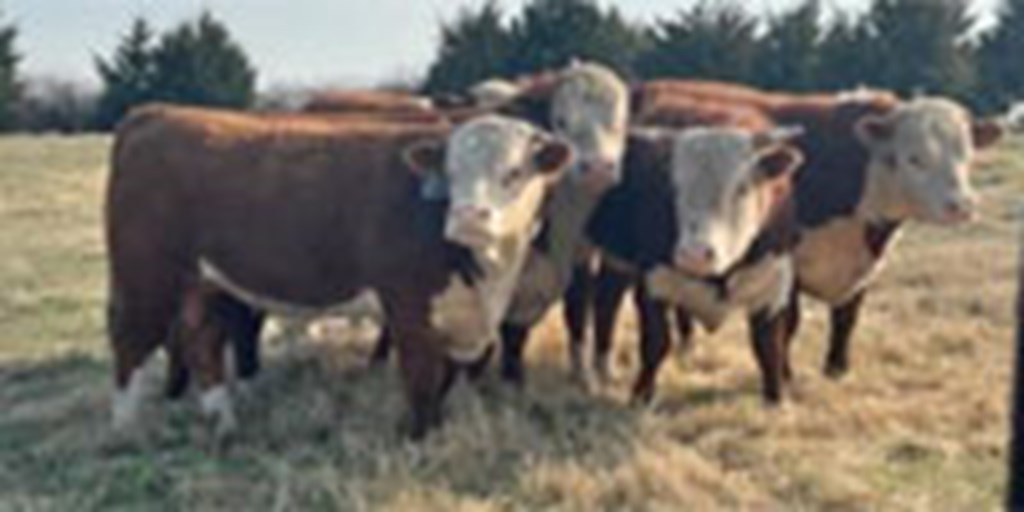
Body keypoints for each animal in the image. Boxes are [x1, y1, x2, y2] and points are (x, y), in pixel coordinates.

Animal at [105, 106, 574, 439]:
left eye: (514, 172)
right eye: (451, 172)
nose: (467, 218)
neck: (487, 277)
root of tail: (160, 114)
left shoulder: (464, 318)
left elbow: (447, 379)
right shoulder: (409, 309)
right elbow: (423, 380)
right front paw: (420, 441)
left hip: (202, 282)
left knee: (200, 337)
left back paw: (223, 422)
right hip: (145, 274)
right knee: (132, 340)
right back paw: (127, 427)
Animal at [566, 81, 1004, 387]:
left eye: (966, 154)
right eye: (914, 158)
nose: (963, 205)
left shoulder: (861, 269)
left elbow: (847, 318)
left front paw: (837, 369)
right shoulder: (788, 266)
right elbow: (787, 327)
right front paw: (789, 377)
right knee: (599, 299)